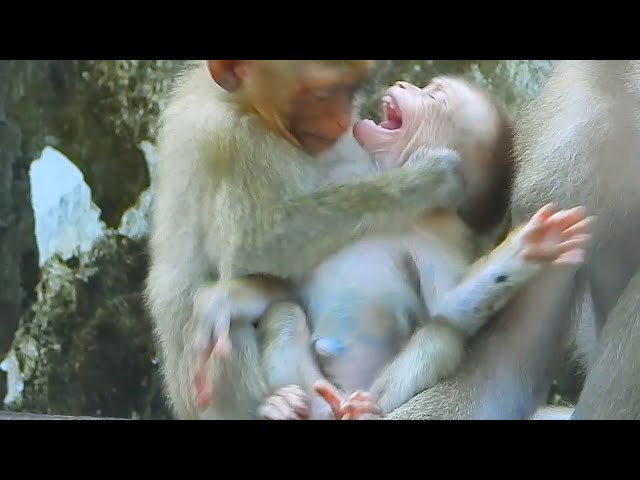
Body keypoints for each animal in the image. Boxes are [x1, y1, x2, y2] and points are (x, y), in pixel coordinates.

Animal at [146, 60, 471, 420]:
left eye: (351, 89)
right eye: (323, 93)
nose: (342, 121)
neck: (248, 108)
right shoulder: (232, 139)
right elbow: (258, 246)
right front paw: (430, 177)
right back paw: (275, 405)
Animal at [196, 76, 592, 420]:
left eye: (434, 96)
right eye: (427, 87)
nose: (403, 84)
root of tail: (342, 397)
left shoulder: (442, 228)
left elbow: (449, 301)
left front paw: (530, 248)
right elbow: (283, 280)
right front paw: (220, 304)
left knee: (440, 336)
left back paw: (364, 410)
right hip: (318, 387)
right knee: (285, 315)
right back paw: (285, 406)